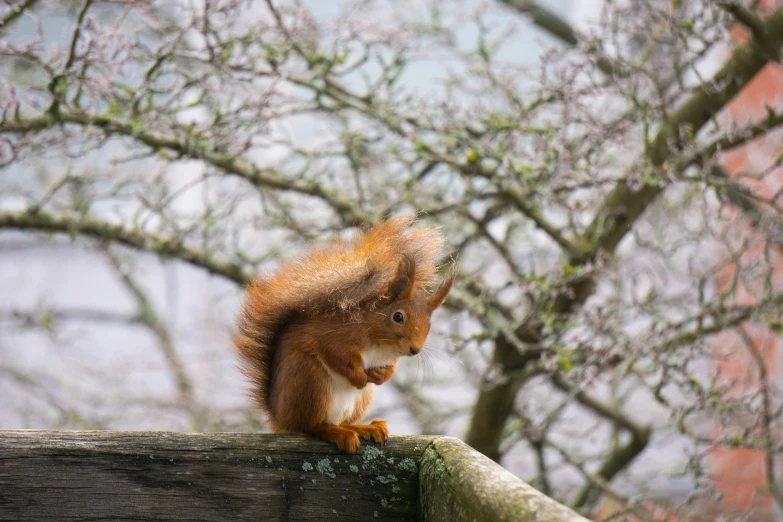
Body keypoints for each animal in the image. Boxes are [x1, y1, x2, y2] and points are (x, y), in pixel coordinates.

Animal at [233, 214, 454, 450]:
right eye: (398, 317)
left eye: (429, 324)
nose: (415, 350)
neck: (381, 345)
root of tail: (280, 418)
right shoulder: (335, 337)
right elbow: (336, 356)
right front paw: (359, 377)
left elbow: (390, 368)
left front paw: (382, 375)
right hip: (310, 384)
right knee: (311, 426)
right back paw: (336, 432)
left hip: (357, 401)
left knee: (343, 421)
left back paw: (364, 428)